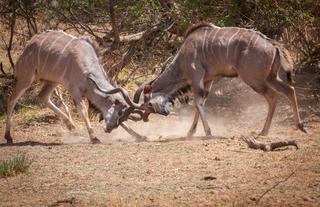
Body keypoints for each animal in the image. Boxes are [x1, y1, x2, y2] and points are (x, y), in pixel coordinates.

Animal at [4, 30, 146, 144]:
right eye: (120, 112)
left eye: (123, 116)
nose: (108, 129)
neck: (87, 65)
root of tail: (28, 45)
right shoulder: (74, 89)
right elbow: (83, 110)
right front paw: (94, 138)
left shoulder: (88, 94)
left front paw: (140, 136)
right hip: (26, 78)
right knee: (12, 99)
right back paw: (8, 136)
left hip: (52, 81)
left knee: (42, 96)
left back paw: (70, 125)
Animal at [135, 22, 308, 137]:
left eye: (149, 104)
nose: (145, 119)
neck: (183, 58)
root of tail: (274, 46)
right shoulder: (208, 80)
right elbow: (201, 103)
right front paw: (191, 131)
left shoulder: (197, 77)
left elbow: (198, 102)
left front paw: (208, 132)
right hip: (270, 77)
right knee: (289, 90)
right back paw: (300, 125)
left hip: (254, 79)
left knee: (273, 96)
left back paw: (264, 131)